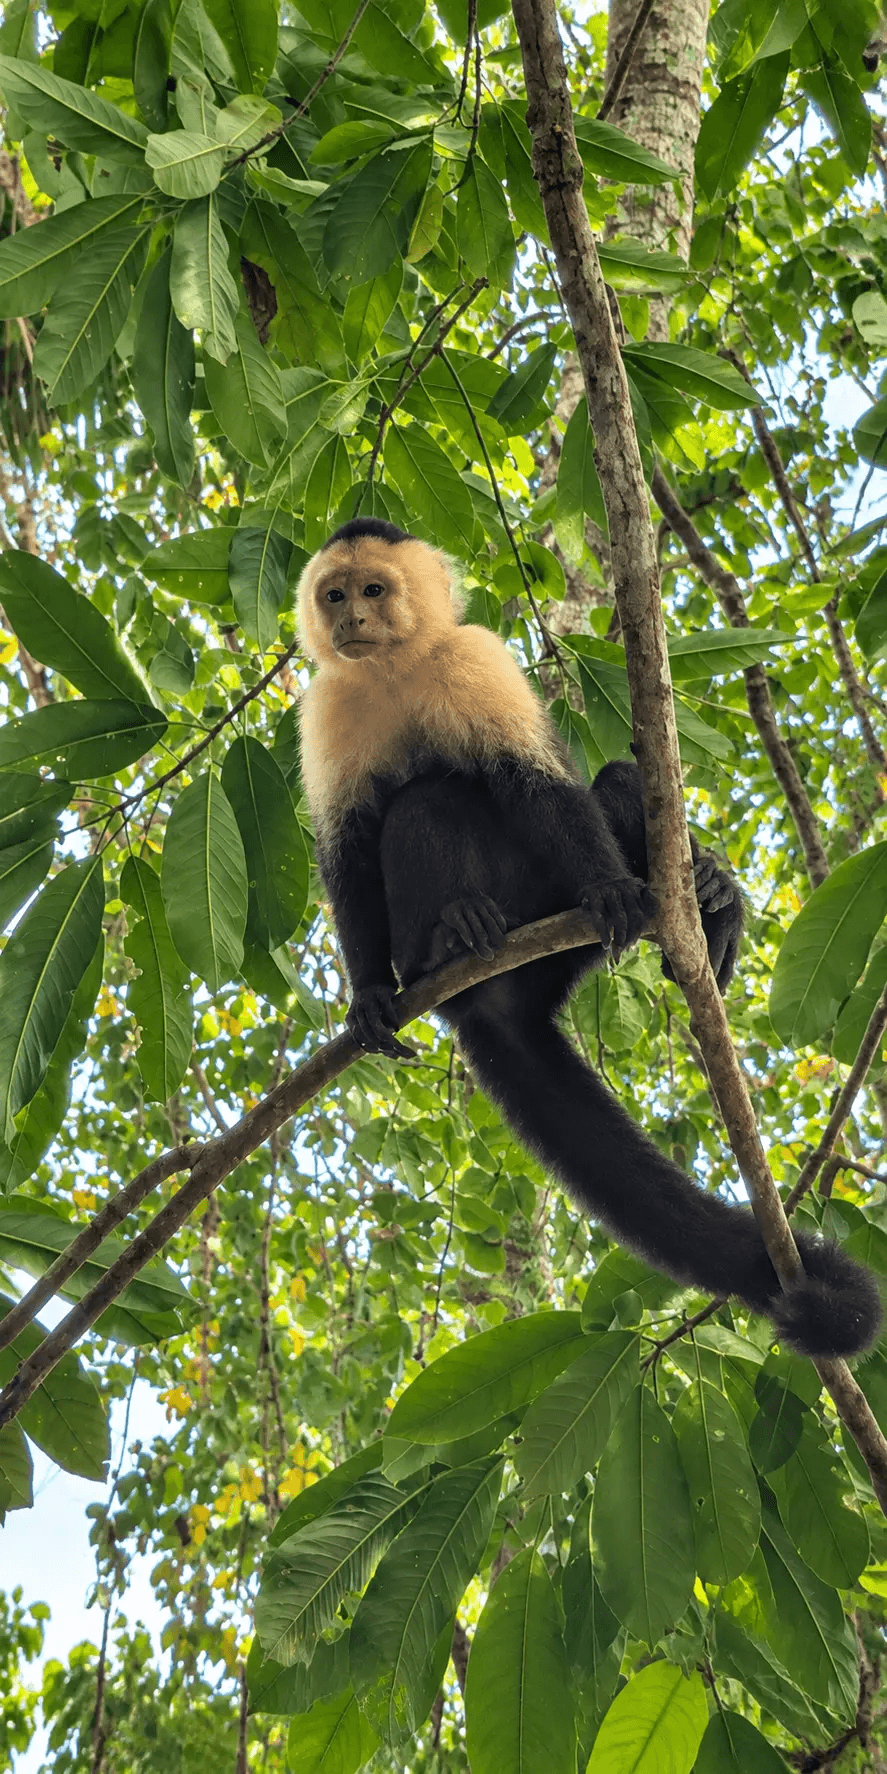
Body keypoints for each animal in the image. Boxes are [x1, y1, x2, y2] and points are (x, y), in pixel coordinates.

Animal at [296, 516, 882, 1360]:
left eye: (373, 589)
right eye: (334, 595)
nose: (351, 620)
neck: (393, 671)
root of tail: (495, 1001)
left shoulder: (473, 657)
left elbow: (540, 784)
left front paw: (616, 889)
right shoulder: (328, 703)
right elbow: (347, 848)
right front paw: (369, 993)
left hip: (557, 941)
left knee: (604, 785)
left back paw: (707, 908)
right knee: (424, 803)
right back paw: (449, 938)